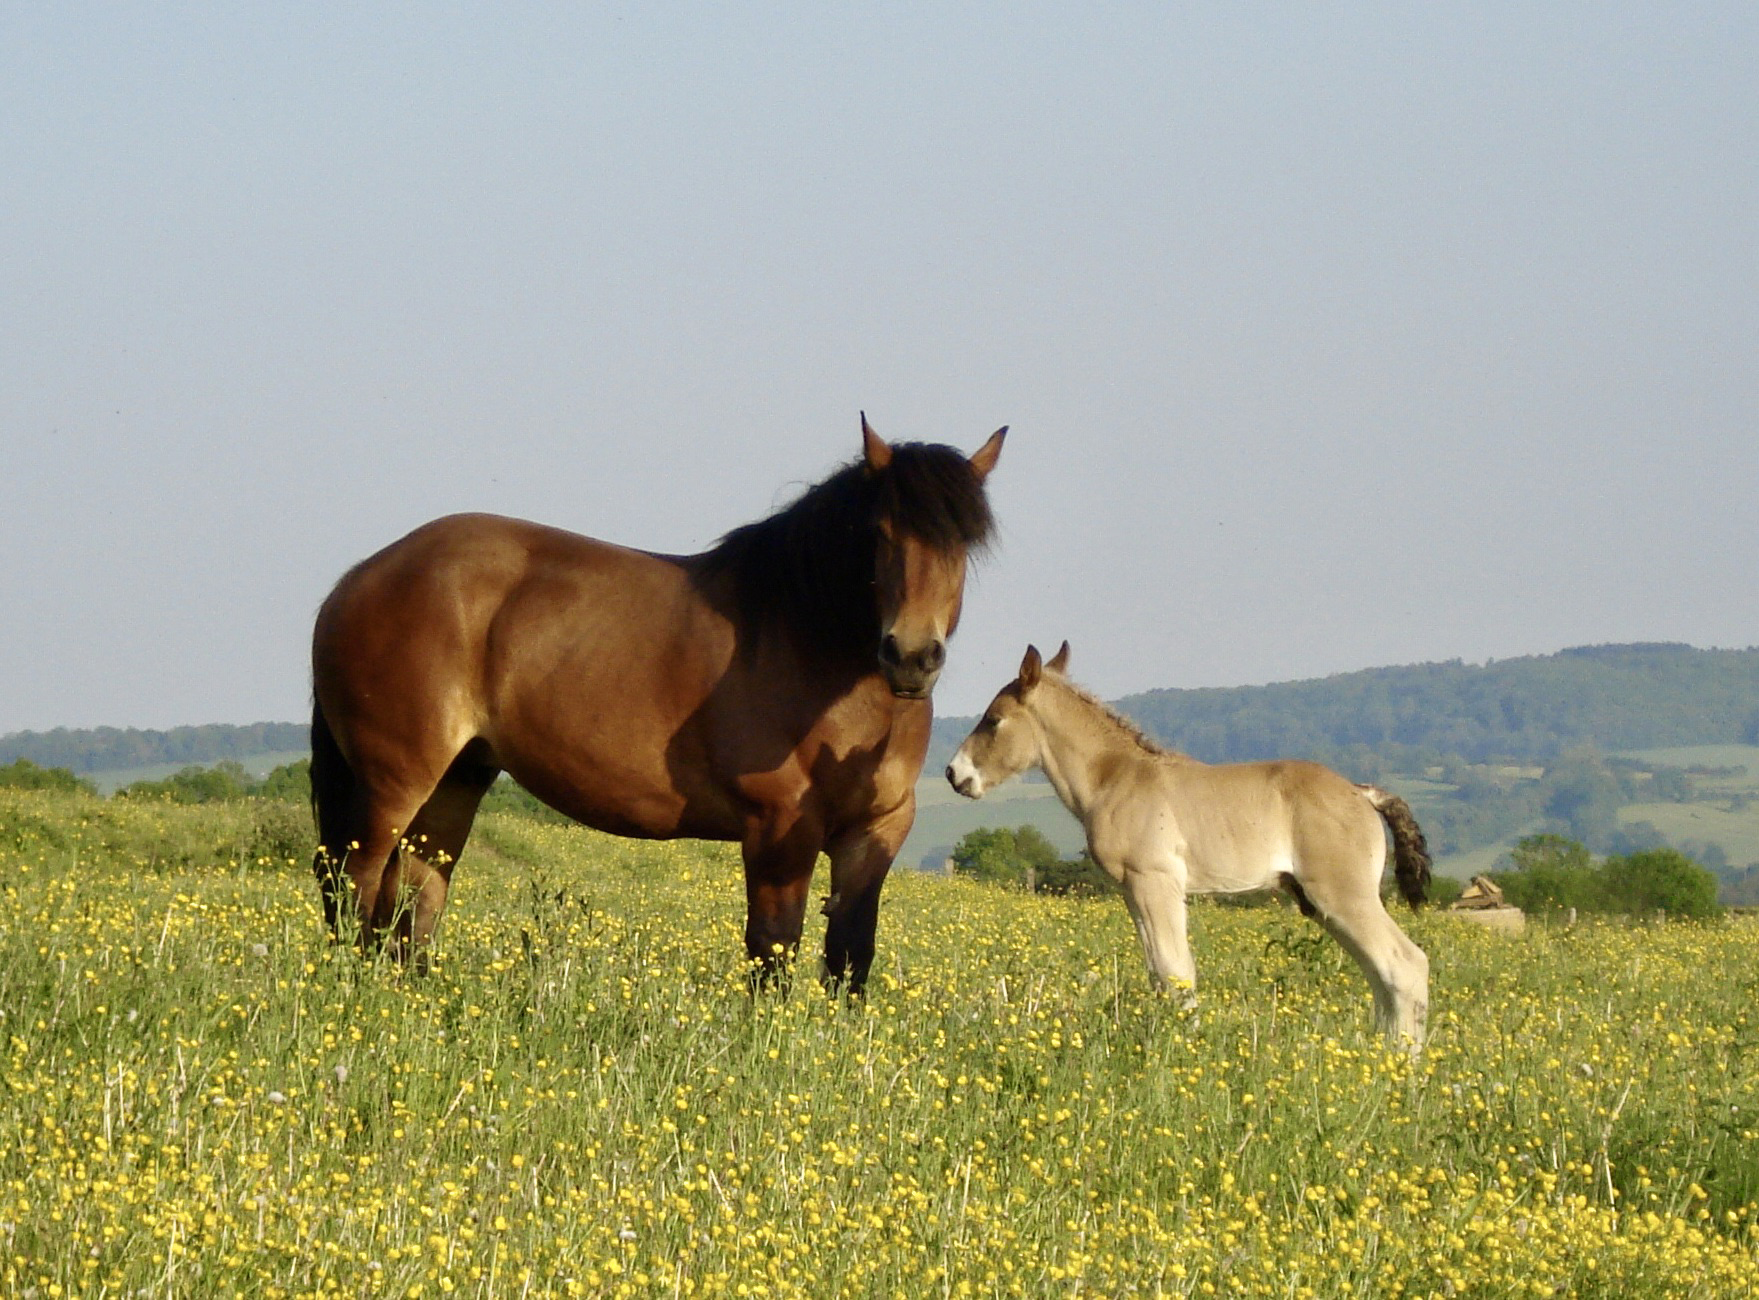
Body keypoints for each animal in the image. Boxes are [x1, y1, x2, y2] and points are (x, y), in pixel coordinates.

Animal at [309, 416, 1006, 985]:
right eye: (879, 534)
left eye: (965, 543)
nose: (910, 656)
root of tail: (358, 578)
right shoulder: (780, 827)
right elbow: (772, 951)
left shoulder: (878, 831)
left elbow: (850, 958)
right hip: (395, 782)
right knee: (355, 887)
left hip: (458, 779)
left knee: (413, 903)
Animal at [949, 647, 1428, 1041]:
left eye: (993, 719)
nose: (955, 774)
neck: (1117, 777)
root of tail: (1362, 793)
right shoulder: (1133, 892)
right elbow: (1160, 973)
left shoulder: (1155, 882)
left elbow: (1175, 970)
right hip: (1321, 904)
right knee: (1380, 973)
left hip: (1343, 895)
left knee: (1405, 963)